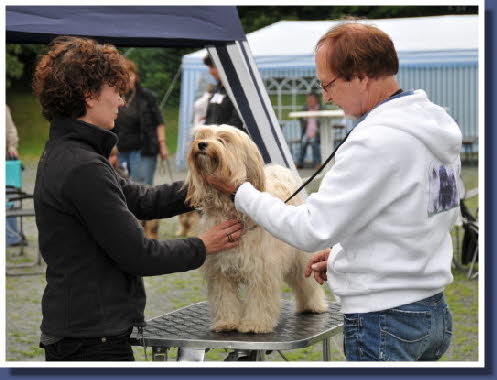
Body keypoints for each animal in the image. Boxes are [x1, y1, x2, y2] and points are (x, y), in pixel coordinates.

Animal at [185, 124, 326, 332]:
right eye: (202, 135)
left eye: (222, 139)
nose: (202, 144)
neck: (229, 208)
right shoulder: (219, 271)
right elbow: (225, 299)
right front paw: (227, 322)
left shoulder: (261, 269)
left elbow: (259, 300)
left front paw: (254, 324)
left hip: (300, 258)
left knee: (307, 282)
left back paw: (314, 305)